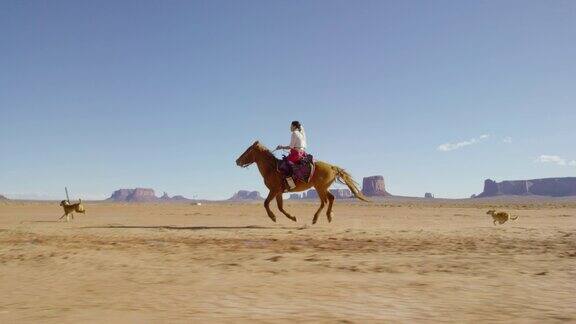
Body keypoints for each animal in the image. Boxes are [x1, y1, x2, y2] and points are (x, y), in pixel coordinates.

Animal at [235, 140, 366, 224]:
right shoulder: (279, 192)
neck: (271, 168)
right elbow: (280, 207)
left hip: (320, 188)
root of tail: (332, 167)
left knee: (324, 201)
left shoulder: (274, 190)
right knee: (331, 198)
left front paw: (273, 217)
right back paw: (329, 216)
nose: (237, 161)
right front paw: (293, 218)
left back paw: (315, 219)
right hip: (323, 187)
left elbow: (266, 203)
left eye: (248, 150)